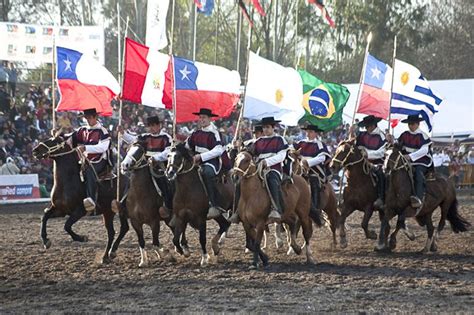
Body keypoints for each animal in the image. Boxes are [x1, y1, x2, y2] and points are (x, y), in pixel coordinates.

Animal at [32, 134, 129, 264]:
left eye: (56, 141)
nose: (35, 150)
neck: (67, 182)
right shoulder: (60, 210)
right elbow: (45, 217)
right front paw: (45, 240)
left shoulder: (80, 211)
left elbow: (67, 225)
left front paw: (82, 238)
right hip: (108, 212)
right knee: (112, 232)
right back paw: (105, 256)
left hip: (120, 210)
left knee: (123, 228)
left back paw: (111, 252)